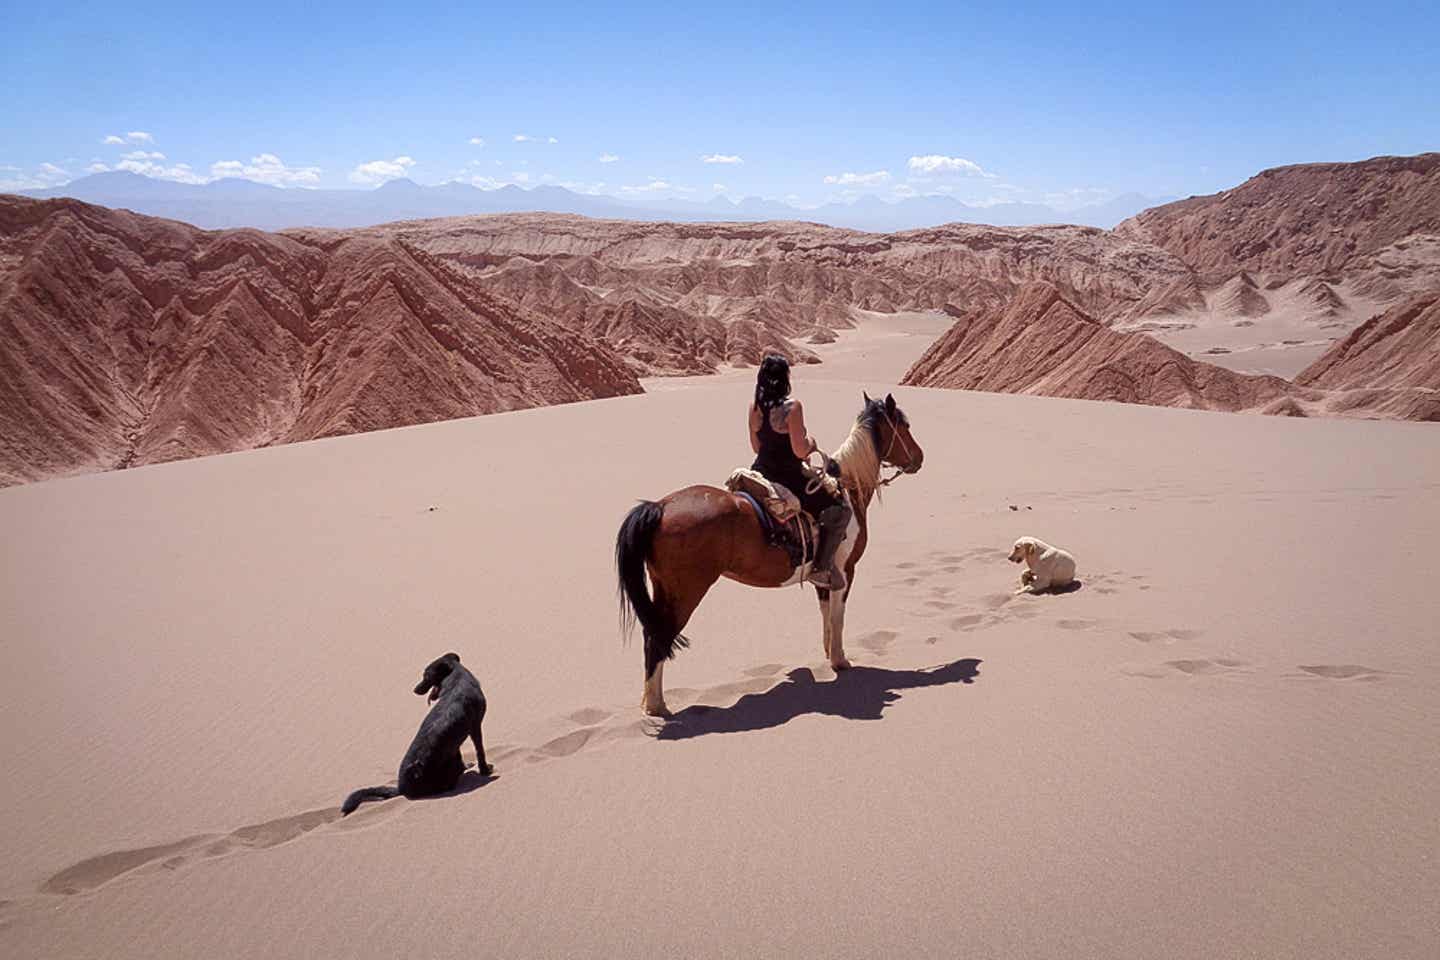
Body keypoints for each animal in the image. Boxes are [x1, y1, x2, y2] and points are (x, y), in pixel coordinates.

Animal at [339, 650, 492, 817]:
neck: (457, 678)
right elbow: (480, 751)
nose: (415, 689)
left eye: (426, 676)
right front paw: (485, 770)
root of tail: (401, 789)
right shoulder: (476, 727)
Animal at [613, 391, 927, 713]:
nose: (919, 457)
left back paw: (652, 703)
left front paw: (829, 653)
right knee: (659, 639)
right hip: (686, 592)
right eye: (904, 426)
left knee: (651, 636)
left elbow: (826, 614)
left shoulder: (824, 574)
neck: (848, 489)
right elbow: (838, 616)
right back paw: (658, 707)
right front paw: (840, 661)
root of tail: (659, 507)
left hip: (663, 589)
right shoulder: (845, 570)